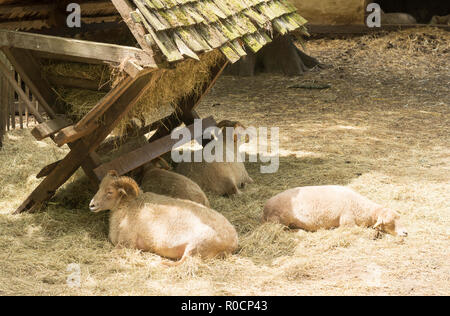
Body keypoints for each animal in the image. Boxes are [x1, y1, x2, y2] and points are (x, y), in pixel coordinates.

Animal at [87, 170, 239, 264]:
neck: (126, 209)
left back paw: (162, 262)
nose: (91, 205)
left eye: (110, 192)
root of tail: (233, 243)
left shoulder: (126, 243)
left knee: (183, 262)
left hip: (197, 245)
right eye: (99, 187)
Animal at [264, 185, 408, 237]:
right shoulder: (347, 221)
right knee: (282, 230)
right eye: (389, 222)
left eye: (400, 218)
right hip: (279, 221)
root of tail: (265, 208)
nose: (405, 232)